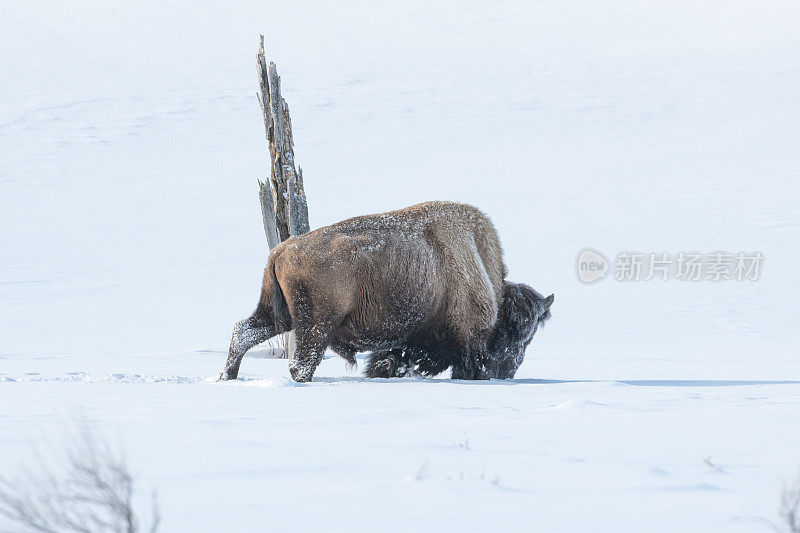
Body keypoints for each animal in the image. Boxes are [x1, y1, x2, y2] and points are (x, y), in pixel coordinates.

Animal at [222, 201, 552, 382]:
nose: (509, 369)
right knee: (300, 363)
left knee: (244, 331)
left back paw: (227, 376)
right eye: (516, 335)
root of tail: (281, 249)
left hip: (278, 315)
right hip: (316, 324)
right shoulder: (468, 342)